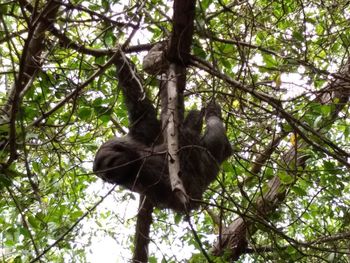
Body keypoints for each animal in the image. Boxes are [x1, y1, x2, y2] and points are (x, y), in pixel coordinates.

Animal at [92, 55, 232, 212]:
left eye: (110, 164)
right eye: (105, 175)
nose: (109, 177)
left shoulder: (142, 135)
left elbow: (141, 109)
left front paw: (119, 58)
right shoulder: (137, 177)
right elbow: (175, 196)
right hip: (210, 159)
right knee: (214, 138)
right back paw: (212, 118)